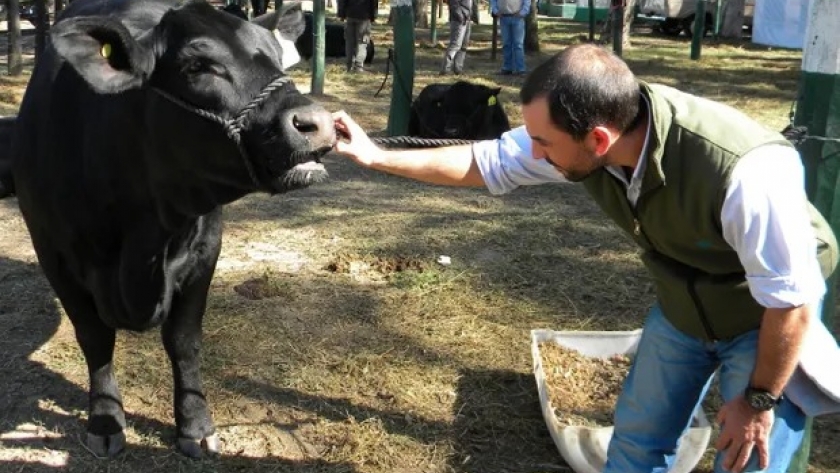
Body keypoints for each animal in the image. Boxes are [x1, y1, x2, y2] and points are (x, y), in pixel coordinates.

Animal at [9, 0, 336, 460]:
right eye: (198, 65)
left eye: (277, 56)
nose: (318, 122)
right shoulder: (53, 255)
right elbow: (94, 339)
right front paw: (105, 420)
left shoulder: (205, 250)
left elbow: (184, 340)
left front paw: (195, 426)